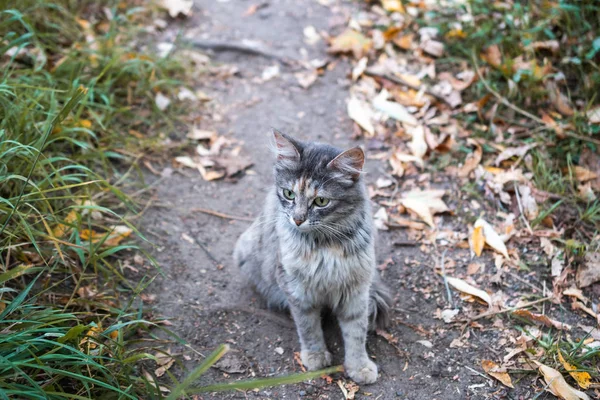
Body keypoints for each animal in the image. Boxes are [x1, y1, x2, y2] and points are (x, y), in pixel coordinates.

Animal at [234, 130, 394, 384]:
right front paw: (316, 356)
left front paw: (359, 366)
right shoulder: (298, 290)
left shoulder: (356, 290)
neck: (325, 245)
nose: (297, 219)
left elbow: (356, 332)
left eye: (321, 201)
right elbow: (309, 328)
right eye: (288, 194)